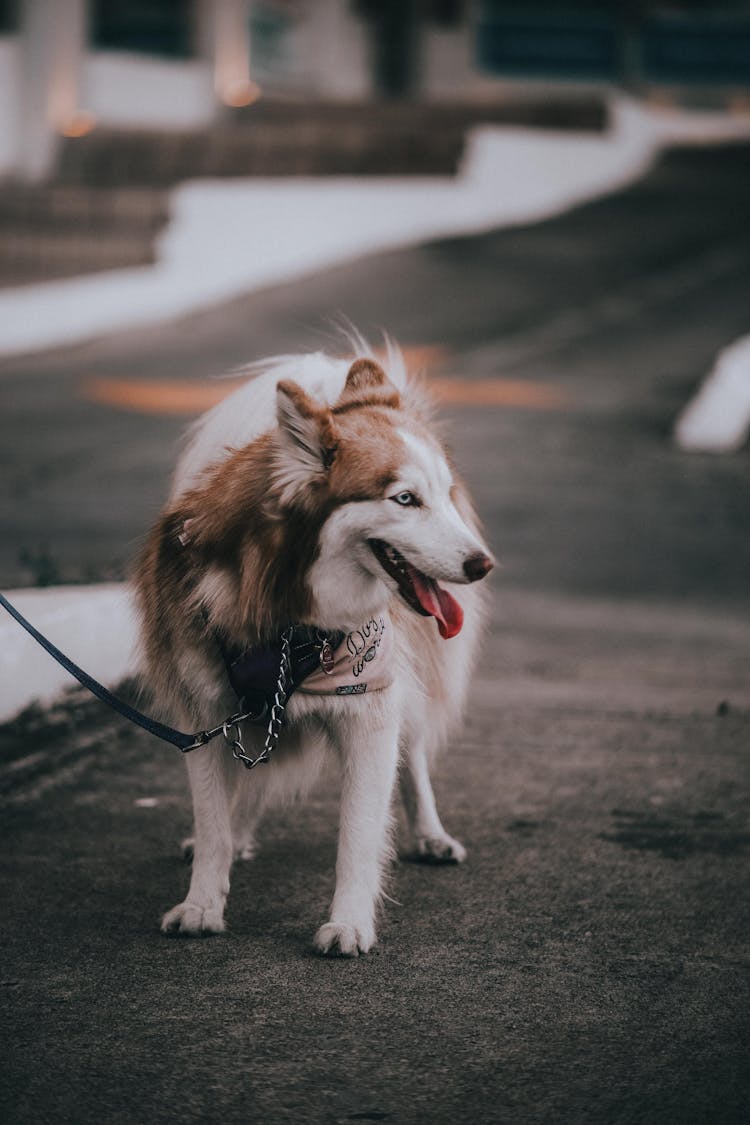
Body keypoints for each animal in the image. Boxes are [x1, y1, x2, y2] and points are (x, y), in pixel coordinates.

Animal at [135, 339, 494, 949]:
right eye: (405, 499)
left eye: (443, 495)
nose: (481, 564)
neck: (289, 616)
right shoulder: (203, 716)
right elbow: (212, 823)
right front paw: (202, 902)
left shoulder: (370, 707)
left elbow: (359, 832)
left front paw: (348, 923)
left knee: (415, 753)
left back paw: (431, 833)